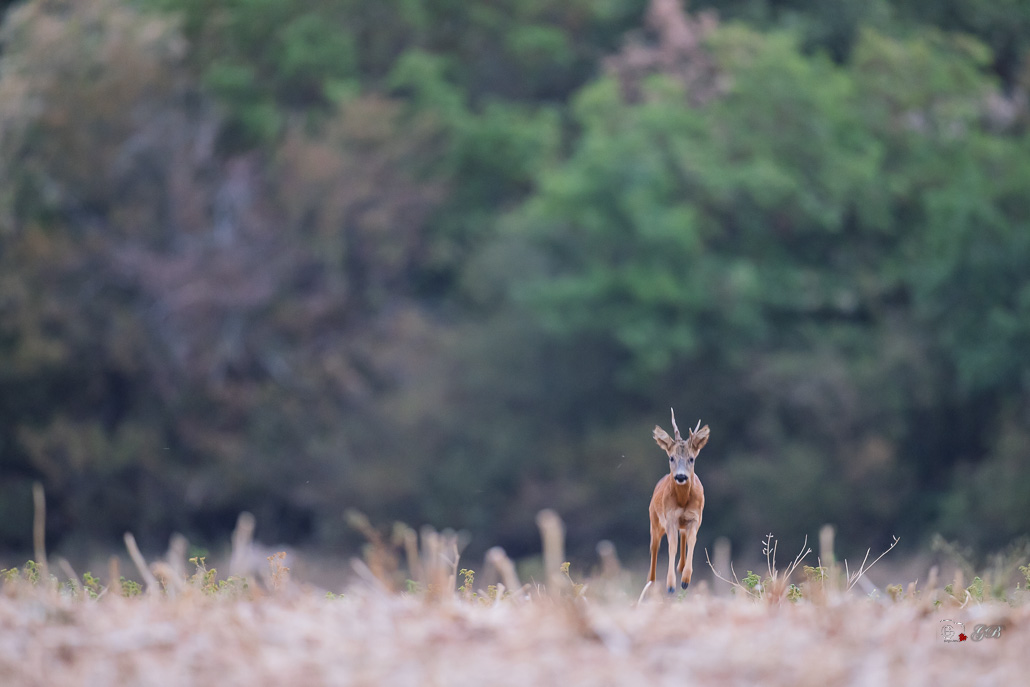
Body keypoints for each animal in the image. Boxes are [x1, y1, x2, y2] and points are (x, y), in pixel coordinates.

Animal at [640, 409, 710, 601]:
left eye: (691, 458)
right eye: (671, 457)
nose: (680, 476)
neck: (683, 500)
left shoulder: (696, 517)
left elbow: (692, 540)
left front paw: (685, 580)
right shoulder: (670, 518)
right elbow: (672, 545)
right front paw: (671, 586)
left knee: (683, 536)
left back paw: (681, 567)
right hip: (654, 521)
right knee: (654, 548)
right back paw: (651, 582)